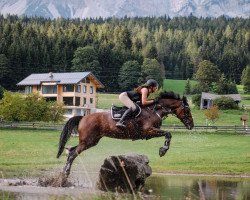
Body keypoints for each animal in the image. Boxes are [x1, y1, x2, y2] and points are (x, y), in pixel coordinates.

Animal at [57, 91, 194, 176]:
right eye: (187, 110)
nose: (191, 125)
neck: (154, 110)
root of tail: (83, 117)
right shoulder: (148, 131)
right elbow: (168, 133)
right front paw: (163, 150)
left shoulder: (149, 134)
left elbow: (167, 134)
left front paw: (163, 150)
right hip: (87, 141)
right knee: (73, 153)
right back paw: (66, 173)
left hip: (91, 141)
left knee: (71, 150)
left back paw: (63, 173)